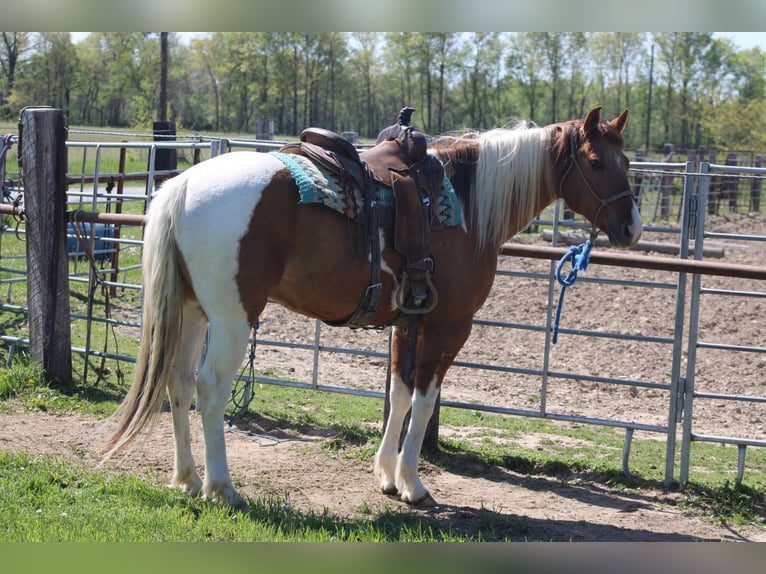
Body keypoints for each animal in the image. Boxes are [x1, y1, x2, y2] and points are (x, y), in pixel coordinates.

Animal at [102, 106, 640, 506]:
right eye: (597, 163)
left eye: (628, 163)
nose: (632, 227)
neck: (468, 204)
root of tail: (183, 185)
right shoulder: (449, 325)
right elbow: (424, 400)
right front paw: (413, 484)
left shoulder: (409, 320)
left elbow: (399, 396)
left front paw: (385, 475)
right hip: (233, 320)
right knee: (210, 389)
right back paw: (221, 487)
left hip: (193, 311)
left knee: (177, 382)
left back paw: (187, 478)